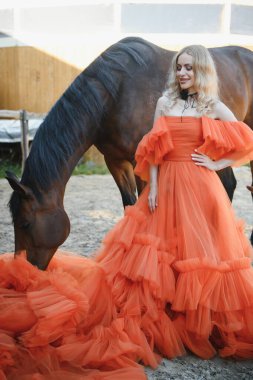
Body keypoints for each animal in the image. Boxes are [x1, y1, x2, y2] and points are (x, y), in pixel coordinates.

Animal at [5, 37, 253, 268]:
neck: (115, 94)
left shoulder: (139, 160)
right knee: (227, 184)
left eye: (25, 223)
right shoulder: (115, 161)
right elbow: (130, 207)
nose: (21, 269)